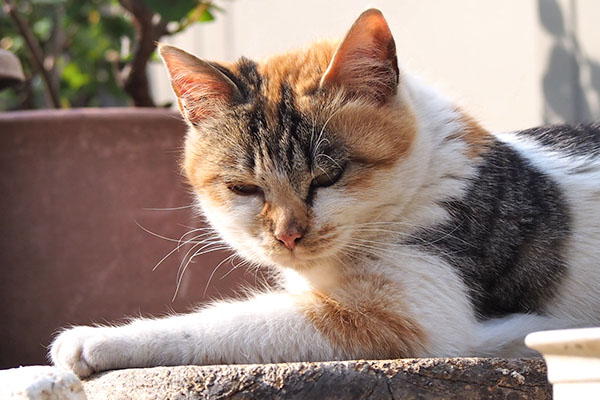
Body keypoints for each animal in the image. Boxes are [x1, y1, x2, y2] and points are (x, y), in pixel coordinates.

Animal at [50, 9, 600, 378]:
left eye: (328, 177)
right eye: (244, 188)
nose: (288, 234)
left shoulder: (414, 319)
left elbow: (228, 324)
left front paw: (95, 340)